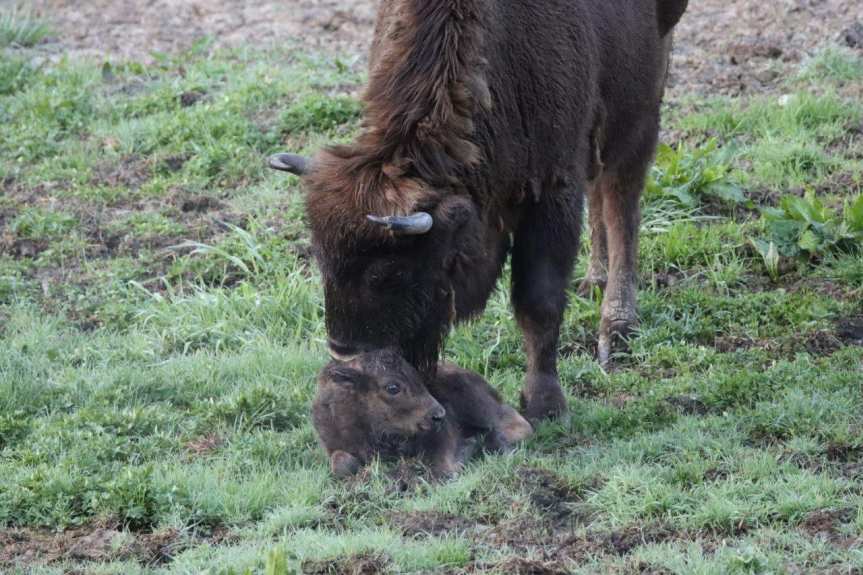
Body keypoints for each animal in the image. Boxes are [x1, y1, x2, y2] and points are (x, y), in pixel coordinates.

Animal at [270, 0, 688, 424]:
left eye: (390, 272)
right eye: (322, 259)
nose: (344, 351)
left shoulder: (552, 190)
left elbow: (539, 302)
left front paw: (545, 405)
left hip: (637, 105)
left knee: (621, 198)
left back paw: (617, 328)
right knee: (602, 191)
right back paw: (594, 281)